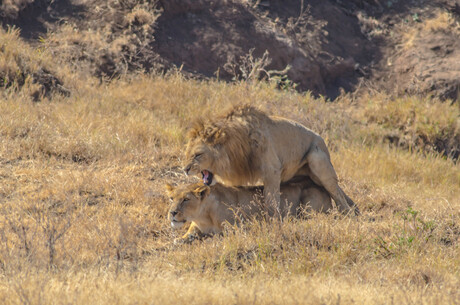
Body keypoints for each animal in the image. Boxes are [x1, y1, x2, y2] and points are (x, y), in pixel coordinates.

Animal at [167, 177, 332, 241]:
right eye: (172, 198)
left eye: (186, 199)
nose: (172, 212)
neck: (204, 217)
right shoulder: (195, 226)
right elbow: (185, 236)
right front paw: (178, 240)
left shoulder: (237, 229)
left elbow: (217, 235)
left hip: (309, 201)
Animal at [184, 104, 360, 214]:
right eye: (187, 154)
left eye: (198, 155)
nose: (185, 169)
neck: (236, 147)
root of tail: (322, 139)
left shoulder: (272, 170)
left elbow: (271, 200)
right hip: (313, 176)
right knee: (339, 191)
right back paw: (355, 210)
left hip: (317, 159)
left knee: (336, 193)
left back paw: (348, 214)